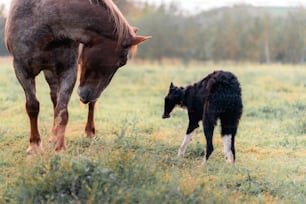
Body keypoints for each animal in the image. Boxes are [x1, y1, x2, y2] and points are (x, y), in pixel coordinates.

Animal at [5, 0, 151, 153]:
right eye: (121, 62)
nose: (87, 95)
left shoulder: (69, 70)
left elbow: (62, 110)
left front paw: (60, 147)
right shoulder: (22, 71)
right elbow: (33, 107)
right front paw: (35, 146)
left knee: (83, 104)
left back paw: (88, 132)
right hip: (50, 72)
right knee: (54, 97)